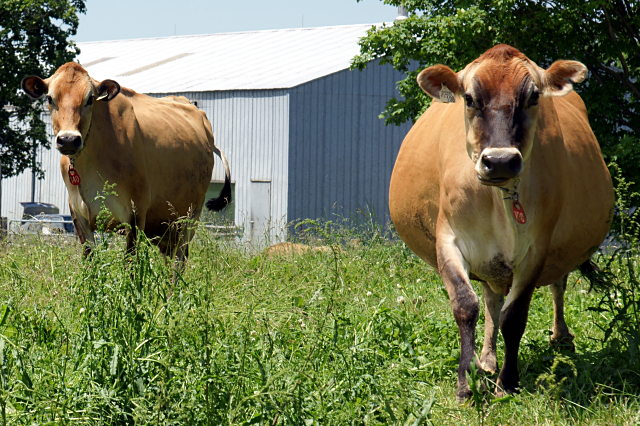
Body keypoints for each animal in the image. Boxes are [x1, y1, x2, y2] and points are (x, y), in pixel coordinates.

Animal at [21, 61, 231, 258]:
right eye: (50, 98)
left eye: (90, 99)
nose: (68, 139)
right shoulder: (79, 217)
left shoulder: (136, 214)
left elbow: (130, 263)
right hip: (165, 227)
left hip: (189, 218)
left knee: (179, 260)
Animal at [390, 45, 616, 400]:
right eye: (469, 98)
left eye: (534, 96)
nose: (499, 161)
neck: (497, 197)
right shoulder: (449, 240)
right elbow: (466, 306)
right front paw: (466, 383)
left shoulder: (536, 249)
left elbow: (514, 316)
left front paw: (508, 382)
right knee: (491, 299)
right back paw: (486, 358)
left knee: (557, 285)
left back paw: (560, 337)